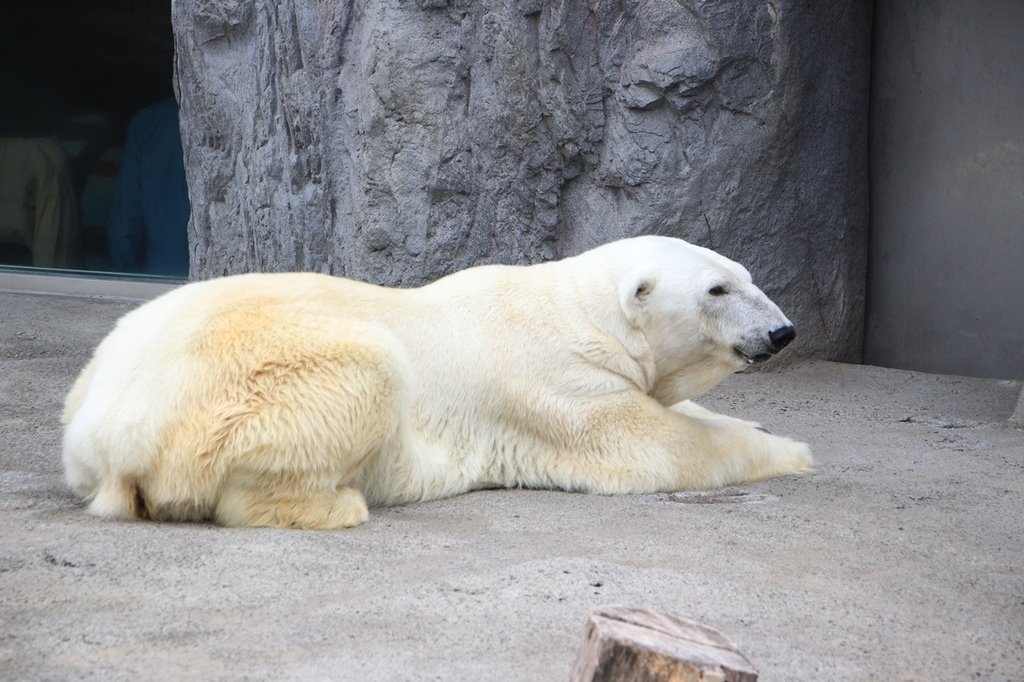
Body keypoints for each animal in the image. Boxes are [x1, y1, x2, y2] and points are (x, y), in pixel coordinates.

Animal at [59, 233, 811, 524]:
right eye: (717, 289)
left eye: (746, 274)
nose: (783, 331)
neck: (579, 312)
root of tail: (111, 440)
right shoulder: (558, 383)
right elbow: (655, 446)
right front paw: (792, 451)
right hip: (249, 384)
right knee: (360, 375)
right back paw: (336, 505)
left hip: (93, 385)